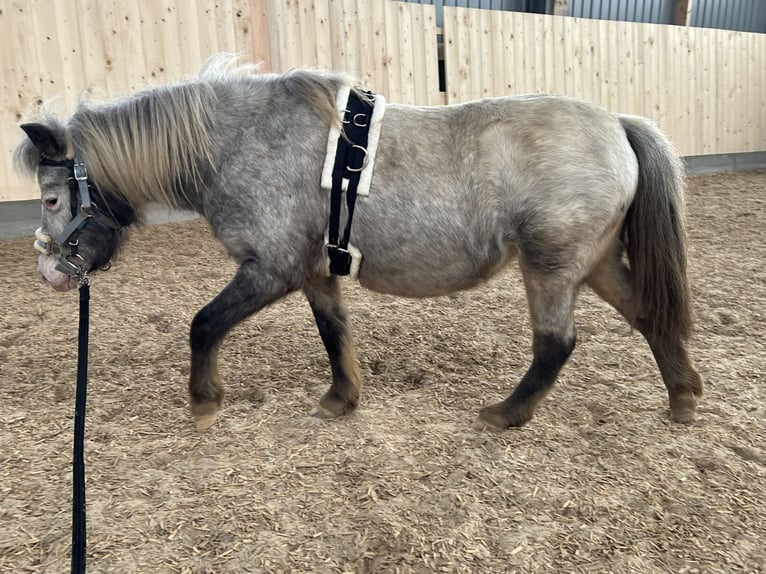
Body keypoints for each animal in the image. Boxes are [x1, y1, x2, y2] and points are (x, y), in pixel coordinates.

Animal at [16, 55, 704, 432]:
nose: (51, 273)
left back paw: (507, 413)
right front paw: (342, 398)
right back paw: (683, 396)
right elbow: (334, 332)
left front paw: (205, 401)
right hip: (595, 263)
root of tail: (617, 123)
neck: (239, 139)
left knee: (556, 344)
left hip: (552, 267)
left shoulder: (269, 269)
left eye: (51, 199)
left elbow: (204, 324)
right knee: (648, 314)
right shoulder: (315, 271)